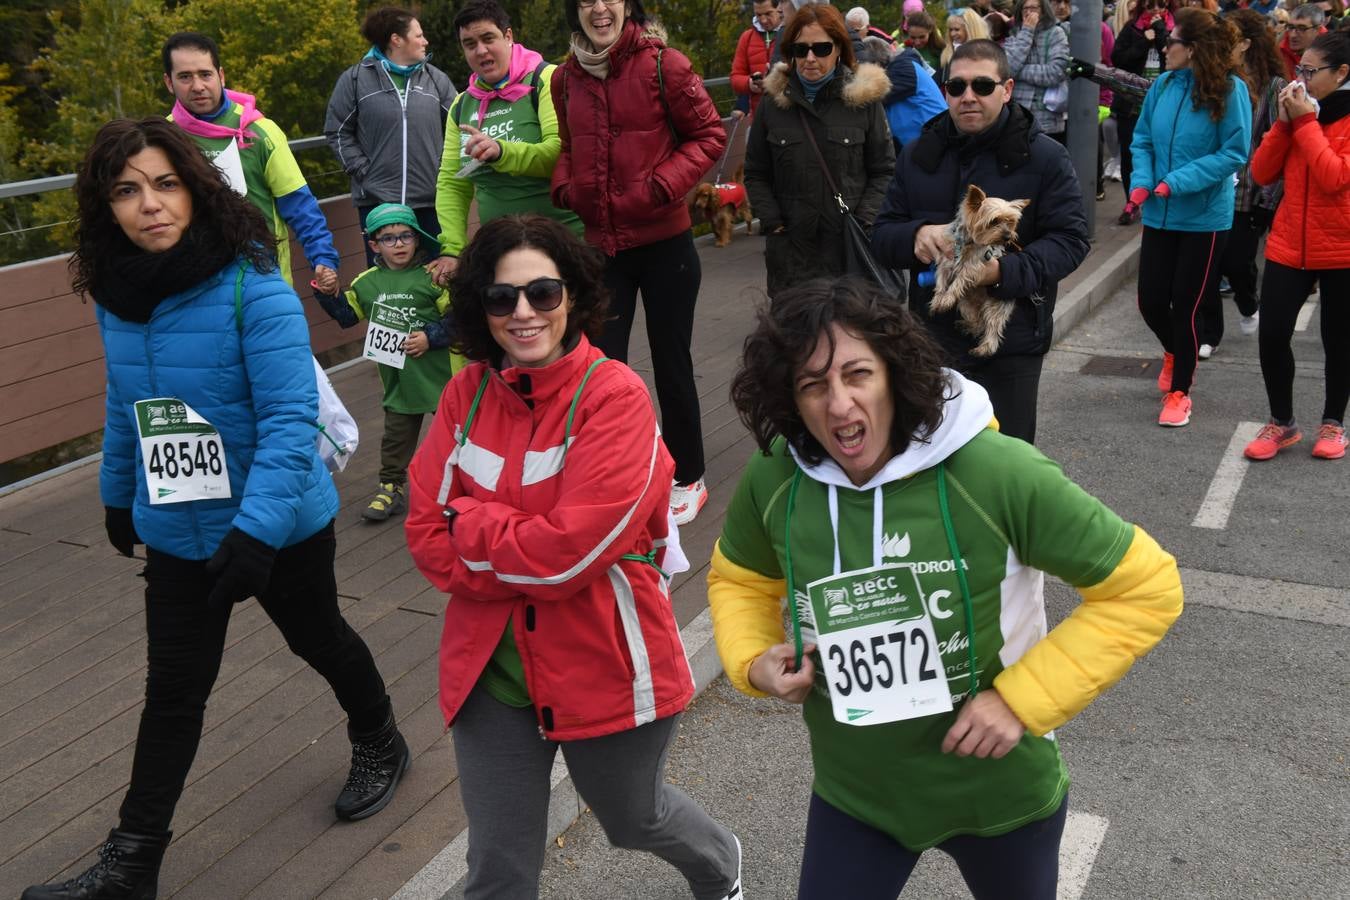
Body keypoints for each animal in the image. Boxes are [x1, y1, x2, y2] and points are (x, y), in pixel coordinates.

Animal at [934, 184, 1026, 356]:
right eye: (994, 221)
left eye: (1010, 221)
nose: (1008, 236)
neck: (968, 243)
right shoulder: (946, 261)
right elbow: (941, 281)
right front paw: (938, 300)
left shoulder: (974, 268)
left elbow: (959, 280)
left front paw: (947, 299)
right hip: (965, 303)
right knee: (977, 322)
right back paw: (967, 326)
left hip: (996, 304)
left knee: (992, 328)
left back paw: (982, 349)